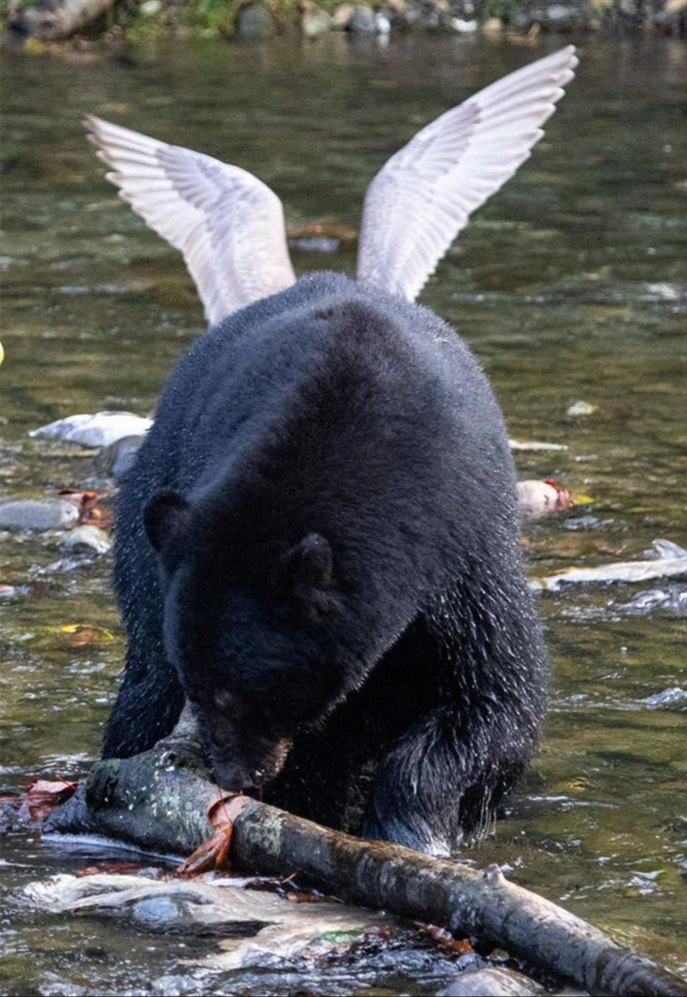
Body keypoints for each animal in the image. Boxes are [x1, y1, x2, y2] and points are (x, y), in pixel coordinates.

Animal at [104, 271, 547, 858]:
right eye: (199, 690)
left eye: (239, 695)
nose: (234, 777)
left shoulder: (467, 550)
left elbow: (494, 697)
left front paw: (411, 829)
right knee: (147, 683)